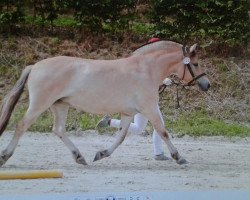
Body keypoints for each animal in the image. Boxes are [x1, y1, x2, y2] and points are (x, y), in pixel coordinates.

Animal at [0, 39, 210, 166]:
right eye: (196, 63)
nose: (207, 85)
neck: (146, 69)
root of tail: (34, 66)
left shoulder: (128, 113)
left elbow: (121, 137)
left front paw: (101, 154)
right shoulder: (149, 109)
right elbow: (163, 132)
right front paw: (179, 157)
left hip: (60, 105)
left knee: (58, 130)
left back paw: (80, 157)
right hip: (40, 104)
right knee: (21, 126)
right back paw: (5, 156)